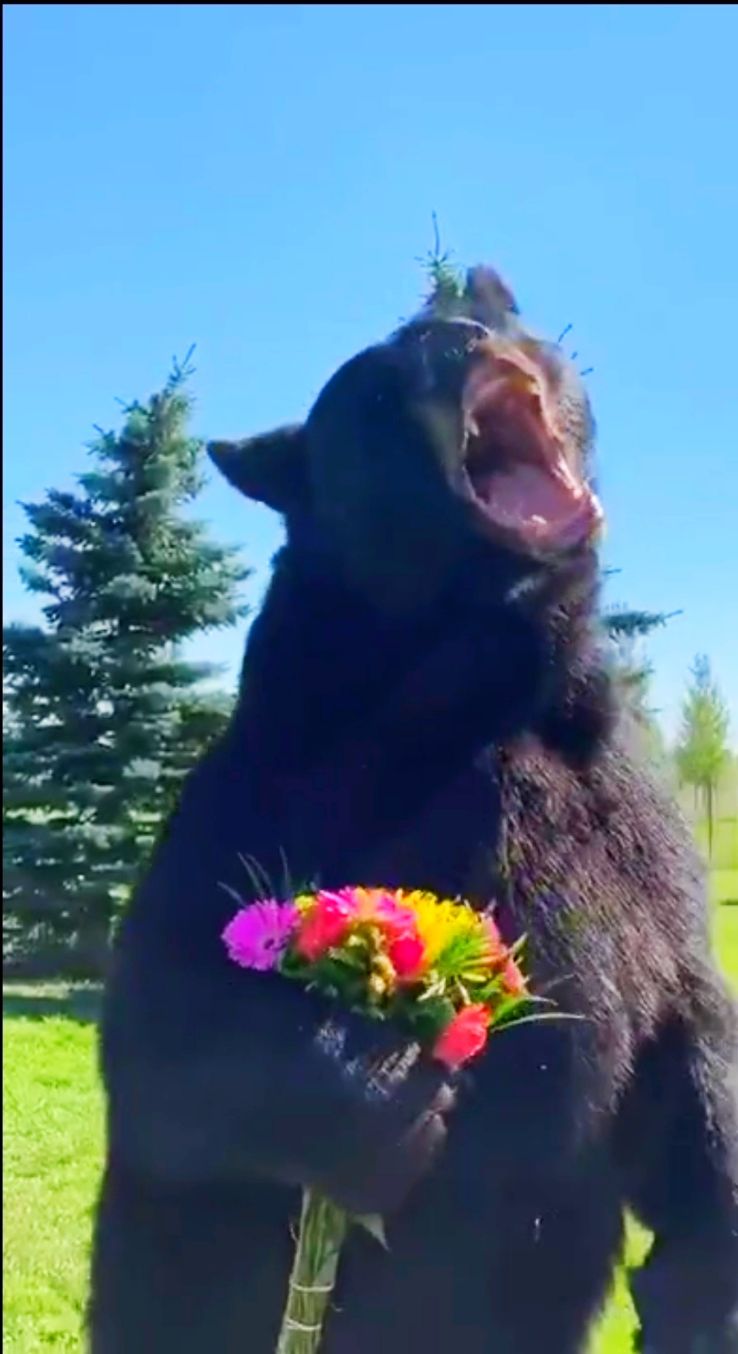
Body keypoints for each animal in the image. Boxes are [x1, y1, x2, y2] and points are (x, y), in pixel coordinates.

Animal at [89, 266, 731, 1354]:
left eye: (493, 315)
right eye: (384, 386)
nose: (466, 328)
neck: (500, 686)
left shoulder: (633, 832)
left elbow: (689, 1031)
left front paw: (701, 1277)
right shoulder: (272, 787)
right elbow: (163, 1023)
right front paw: (373, 1088)